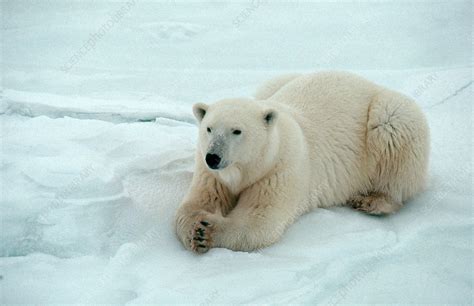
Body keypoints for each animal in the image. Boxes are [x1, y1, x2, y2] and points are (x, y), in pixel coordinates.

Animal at [174, 71, 430, 253]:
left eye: (236, 131)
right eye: (209, 128)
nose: (213, 157)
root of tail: (371, 82)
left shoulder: (280, 169)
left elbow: (259, 221)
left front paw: (206, 231)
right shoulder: (211, 174)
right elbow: (196, 203)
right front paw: (194, 229)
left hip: (388, 116)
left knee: (393, 132)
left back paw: (372, 201)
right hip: (273, 84)